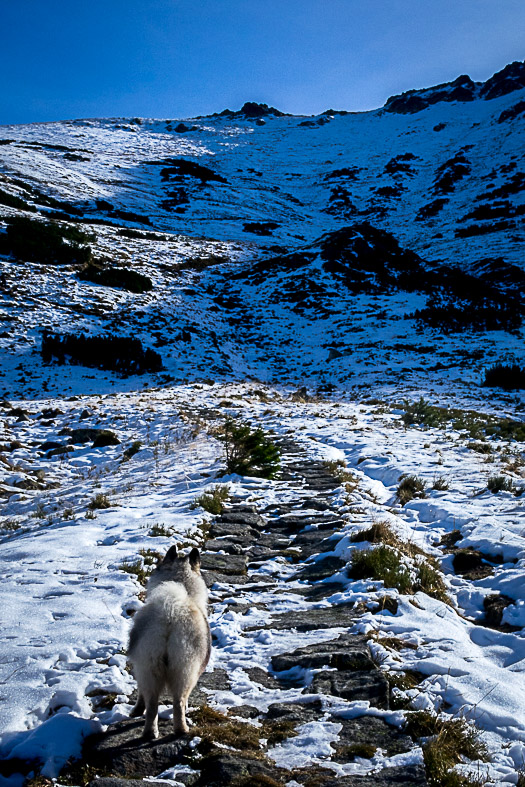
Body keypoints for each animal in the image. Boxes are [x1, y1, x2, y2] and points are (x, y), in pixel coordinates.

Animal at [127, 548, 209, 740]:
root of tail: (170, 616)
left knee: (153, 705)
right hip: (185, 669)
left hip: (150, 668)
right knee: (178, 702)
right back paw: (181, 729)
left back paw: (151, 732)